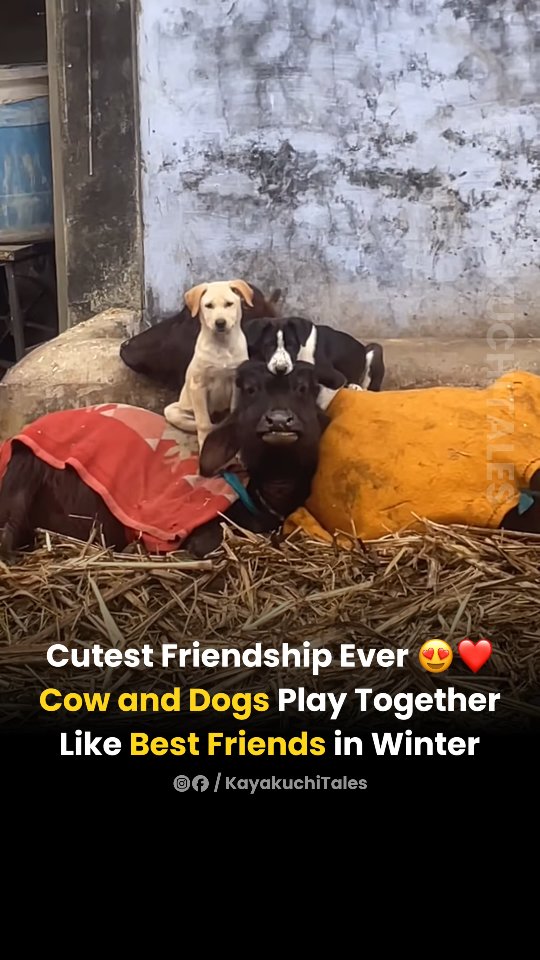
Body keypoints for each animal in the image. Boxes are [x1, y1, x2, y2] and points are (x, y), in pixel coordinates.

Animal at [163, 279, 253, 450]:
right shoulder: (198, 386)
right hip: (173, 410)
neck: (222, 346)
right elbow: (203, 423)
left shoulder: (236, 385)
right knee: (202, 424)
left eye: (229, 304)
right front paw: (205, 444)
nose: (220, 323)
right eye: (208, 306)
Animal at [245, 316, 385, 409]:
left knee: (370, 389)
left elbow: (321, 403)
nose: (280, 369)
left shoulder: (337, 378)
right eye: (268, 345)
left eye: (291, 344)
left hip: (375, 350)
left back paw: (355, 386)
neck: (301, 352)